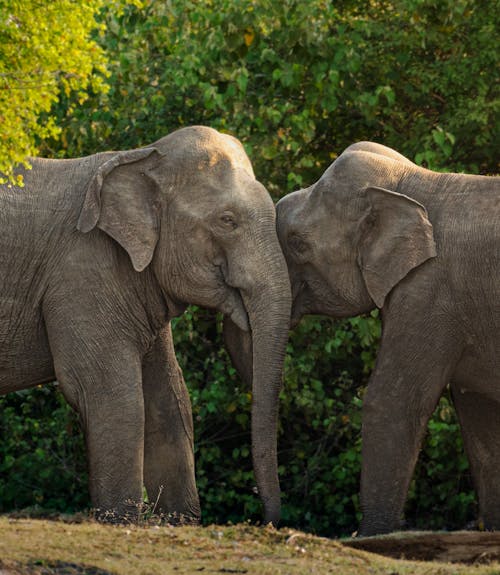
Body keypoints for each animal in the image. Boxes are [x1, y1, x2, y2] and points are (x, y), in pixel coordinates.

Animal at [0, 127, 292, 528]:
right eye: (227, 220)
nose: (268, 521)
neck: (140, 156)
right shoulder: (82, 272)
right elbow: (111, 395)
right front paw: (120, 521)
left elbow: (170, 398)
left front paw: (179, 522)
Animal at [276, 142, 498, 536]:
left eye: (298, 243)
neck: (411, 183)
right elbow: (480, 416)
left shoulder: (429, 291)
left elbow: (391, 399)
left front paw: (373, 535)